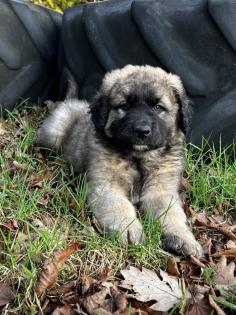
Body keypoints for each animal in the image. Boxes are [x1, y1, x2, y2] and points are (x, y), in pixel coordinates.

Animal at [38, 65, 203, 260]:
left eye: (158, 107)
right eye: (125, 106)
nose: (142, 131)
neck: (139, 159)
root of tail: (72, 101)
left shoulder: (161, 191)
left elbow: (172, 214)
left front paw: (184, 238)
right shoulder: (107, 187)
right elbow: (119, 206)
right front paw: (128, 228)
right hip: (53, 134)